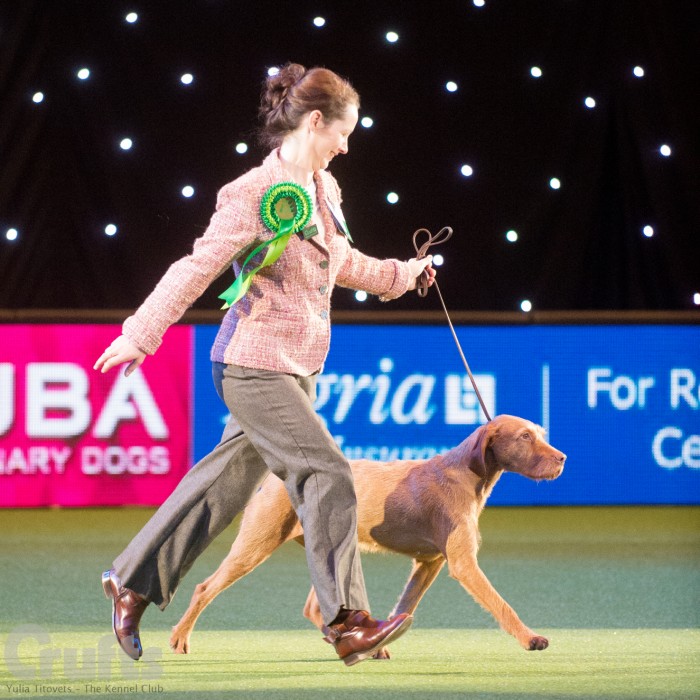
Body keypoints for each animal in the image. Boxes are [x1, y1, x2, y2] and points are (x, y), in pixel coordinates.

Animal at [172, 412, 568, 652]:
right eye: (524, 436)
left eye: (540, 434)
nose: (562, 458)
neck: (466, 473)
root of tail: (276, 477)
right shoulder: (462, 563)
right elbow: (502, 605)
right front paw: (530, 637)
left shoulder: (429, 563)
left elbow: (405, 605)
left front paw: (383, 638)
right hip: (257, 543)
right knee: (205, 587)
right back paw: (179, 638)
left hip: (329, 548)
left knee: (315, 606)